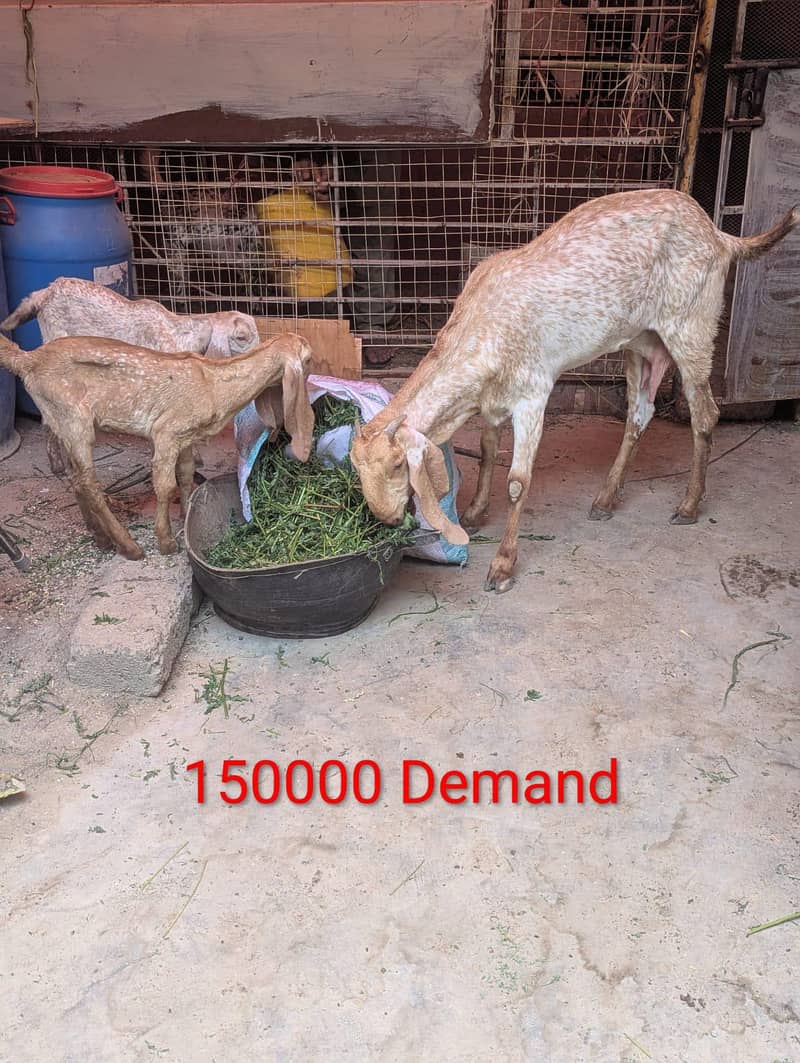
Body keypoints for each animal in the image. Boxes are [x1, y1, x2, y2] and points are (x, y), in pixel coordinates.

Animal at [0, 333, 314, 560]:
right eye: (309, 358)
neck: (213, 385)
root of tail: (28, 359)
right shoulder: (166, 432)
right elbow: (165, 486)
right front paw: (166, 541)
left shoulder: (187, 437)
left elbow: (186, 475)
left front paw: (187, 514)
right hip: (74, 419)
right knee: (88, 482)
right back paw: (128, 546)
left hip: (60, 422)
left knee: (75, 479)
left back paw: (100, 536)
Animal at [350, 189, 799, 593]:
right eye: (356, 467)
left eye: (398, 465)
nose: (386, 519)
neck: (485, 323)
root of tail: (719, 235)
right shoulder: (493, 398)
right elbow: (487, 449)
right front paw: (476, 513)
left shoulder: (533, 392)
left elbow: (518, 482)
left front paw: (503, 565)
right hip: (642, 343)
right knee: (640, 414)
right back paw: (606, 500)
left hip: (691, 327)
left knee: (705, 414)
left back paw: (688, 505)